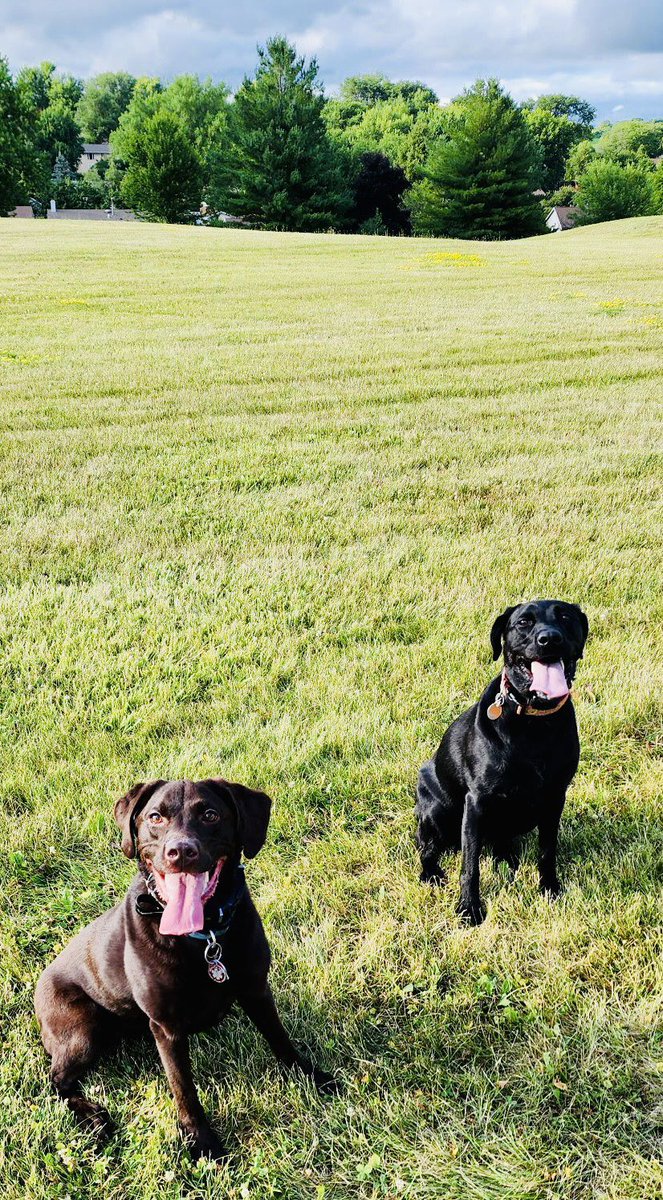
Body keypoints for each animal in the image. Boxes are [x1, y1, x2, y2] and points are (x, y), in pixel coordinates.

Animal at [35, 777, 333, 1161]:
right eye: (155, 817)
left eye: (210, 815)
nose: (180, 851)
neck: (204, 937)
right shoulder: (167, 1028)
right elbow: (184, 1089)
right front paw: (202, 1142)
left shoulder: (256, 989)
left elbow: (280, 1039)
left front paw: (312, 1076)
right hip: (83, 1031)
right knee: (57, 1080)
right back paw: (92, 1116)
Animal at [417, 604, 588, 921]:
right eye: (523, 622)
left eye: (565, 617)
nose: (550, 639)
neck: (534, 724)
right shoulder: (476, 801)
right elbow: (469, 865)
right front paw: (469, 909)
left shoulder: (555, 797)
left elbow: (547, 851)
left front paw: (550, 889)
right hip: (437, 810)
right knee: (427, 848)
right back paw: (431, 873)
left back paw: (506, 859)